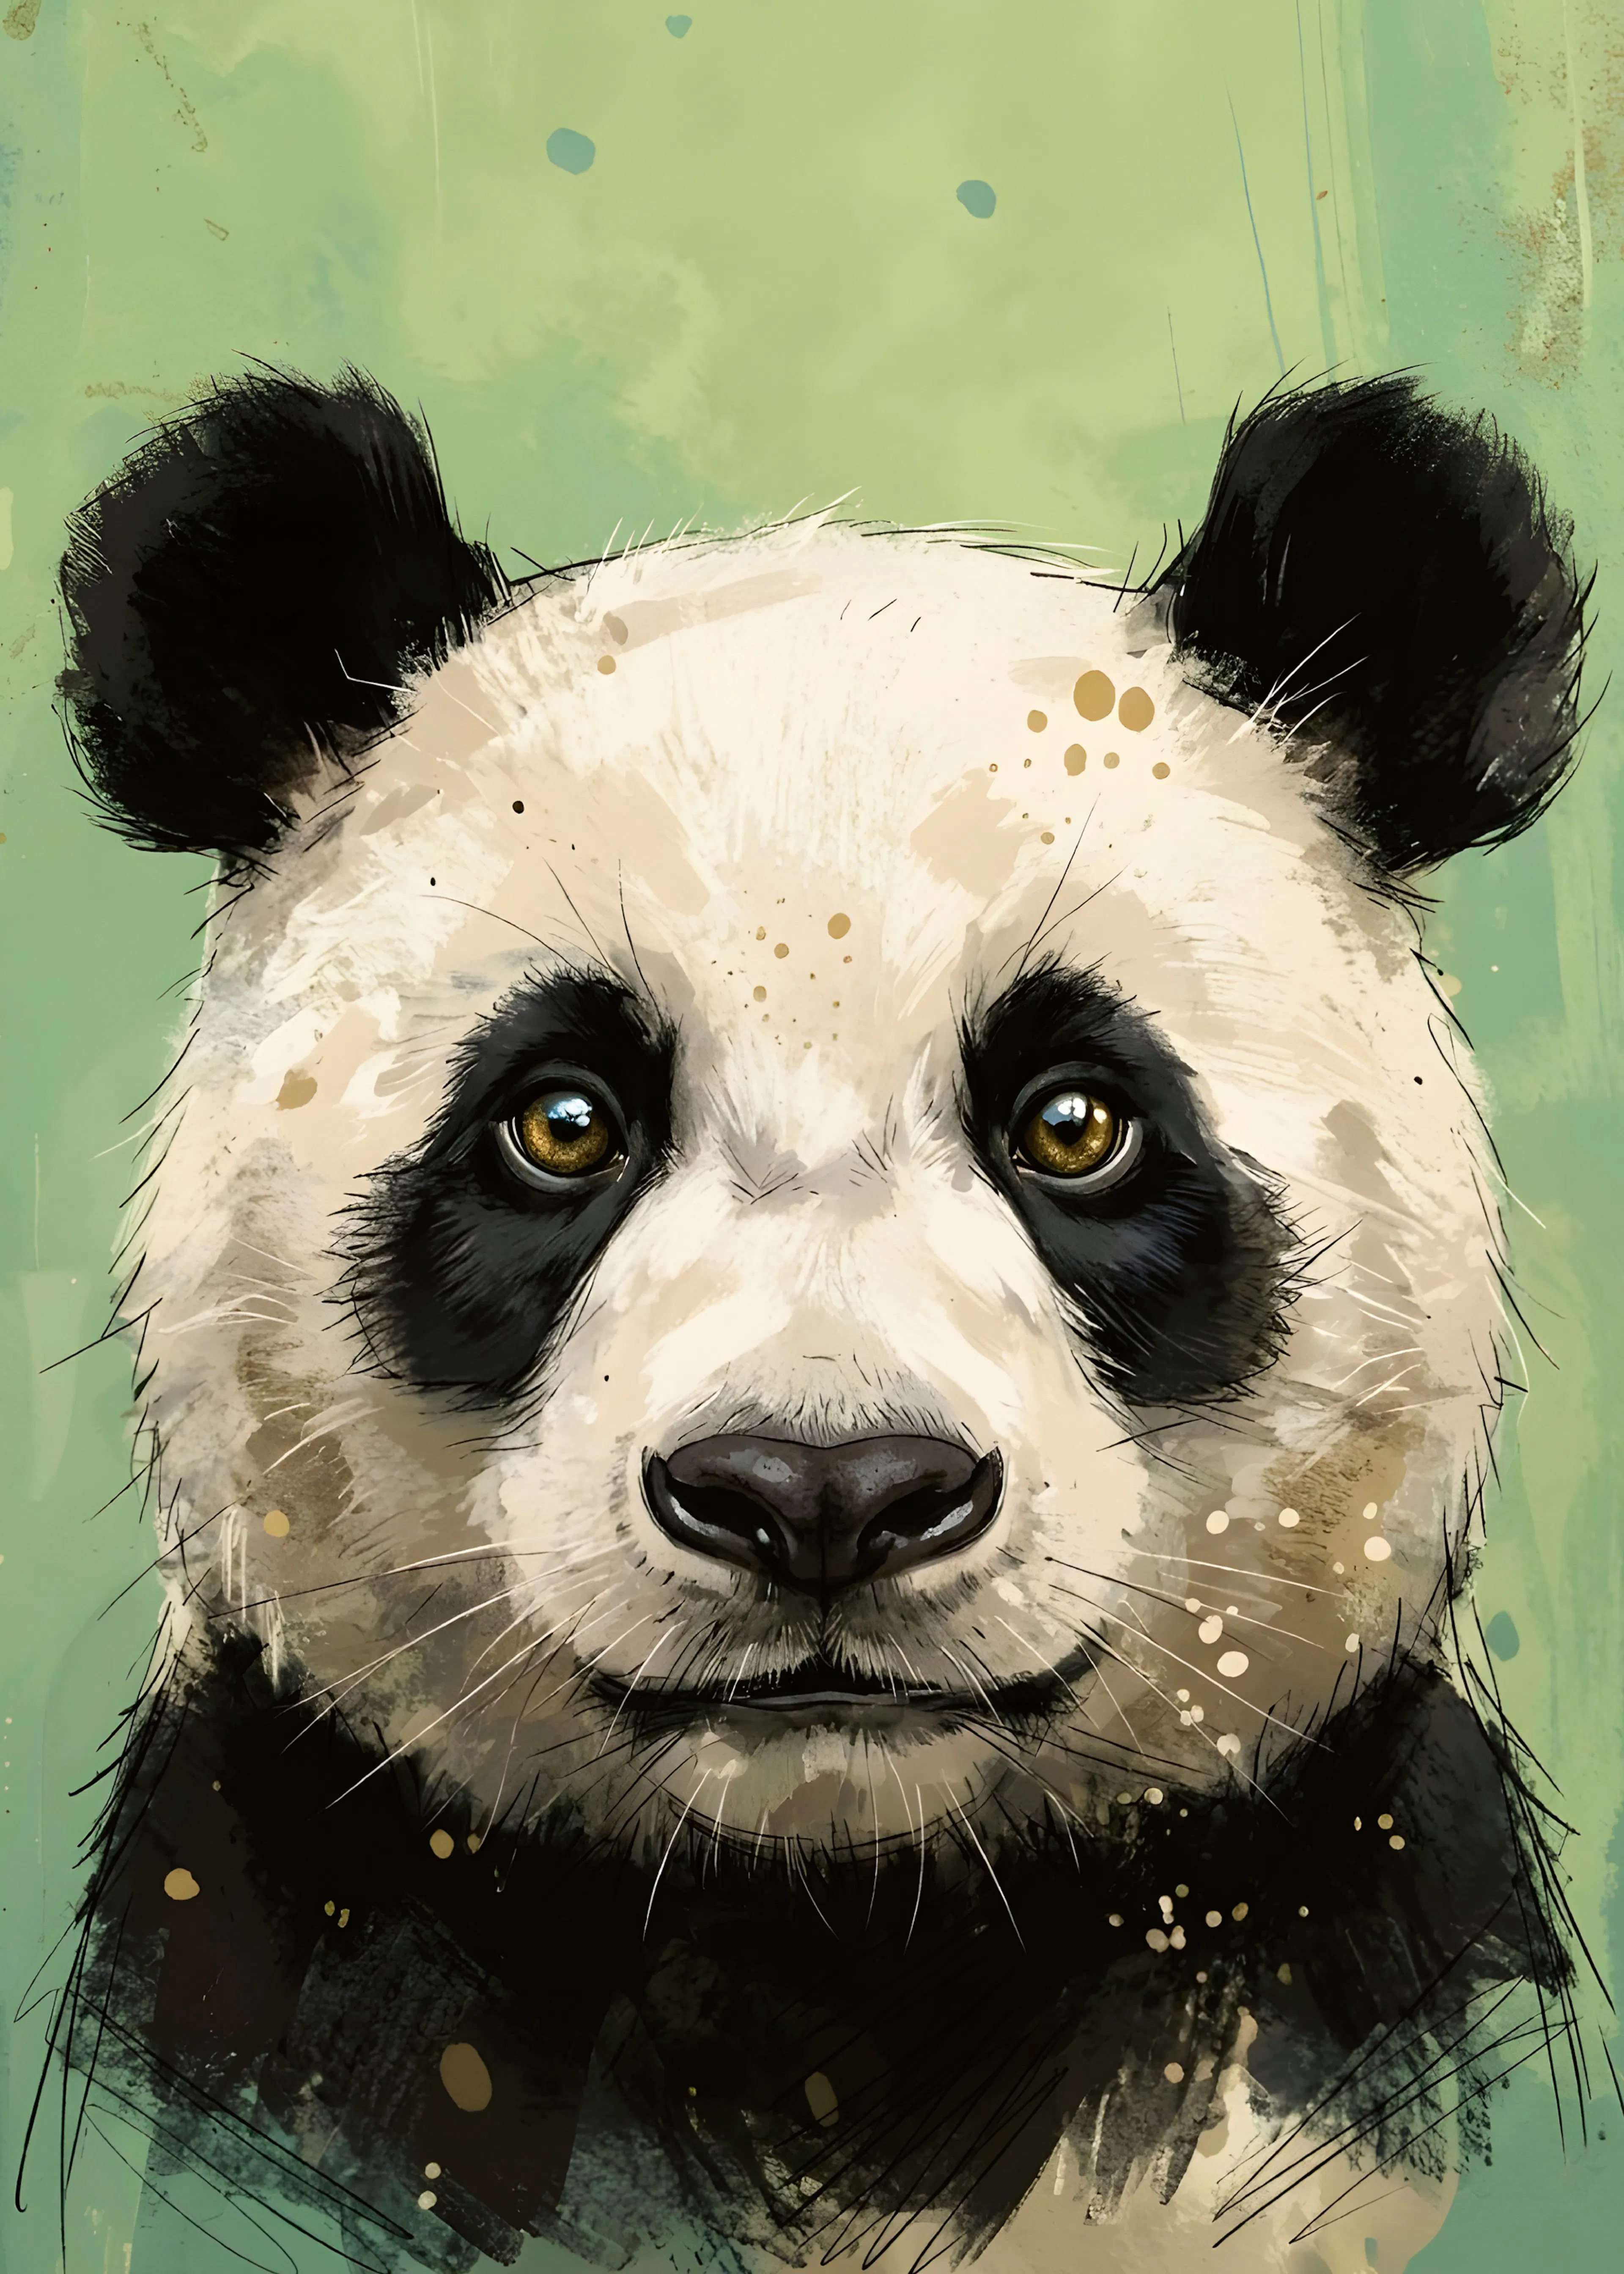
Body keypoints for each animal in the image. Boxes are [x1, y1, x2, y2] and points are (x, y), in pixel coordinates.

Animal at [41, 368, 1589, 2274]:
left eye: (1076, 1121)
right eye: (562, 1121)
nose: (824, 1495)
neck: (834, 1935)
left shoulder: (1318, 1923)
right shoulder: (302, 1914)